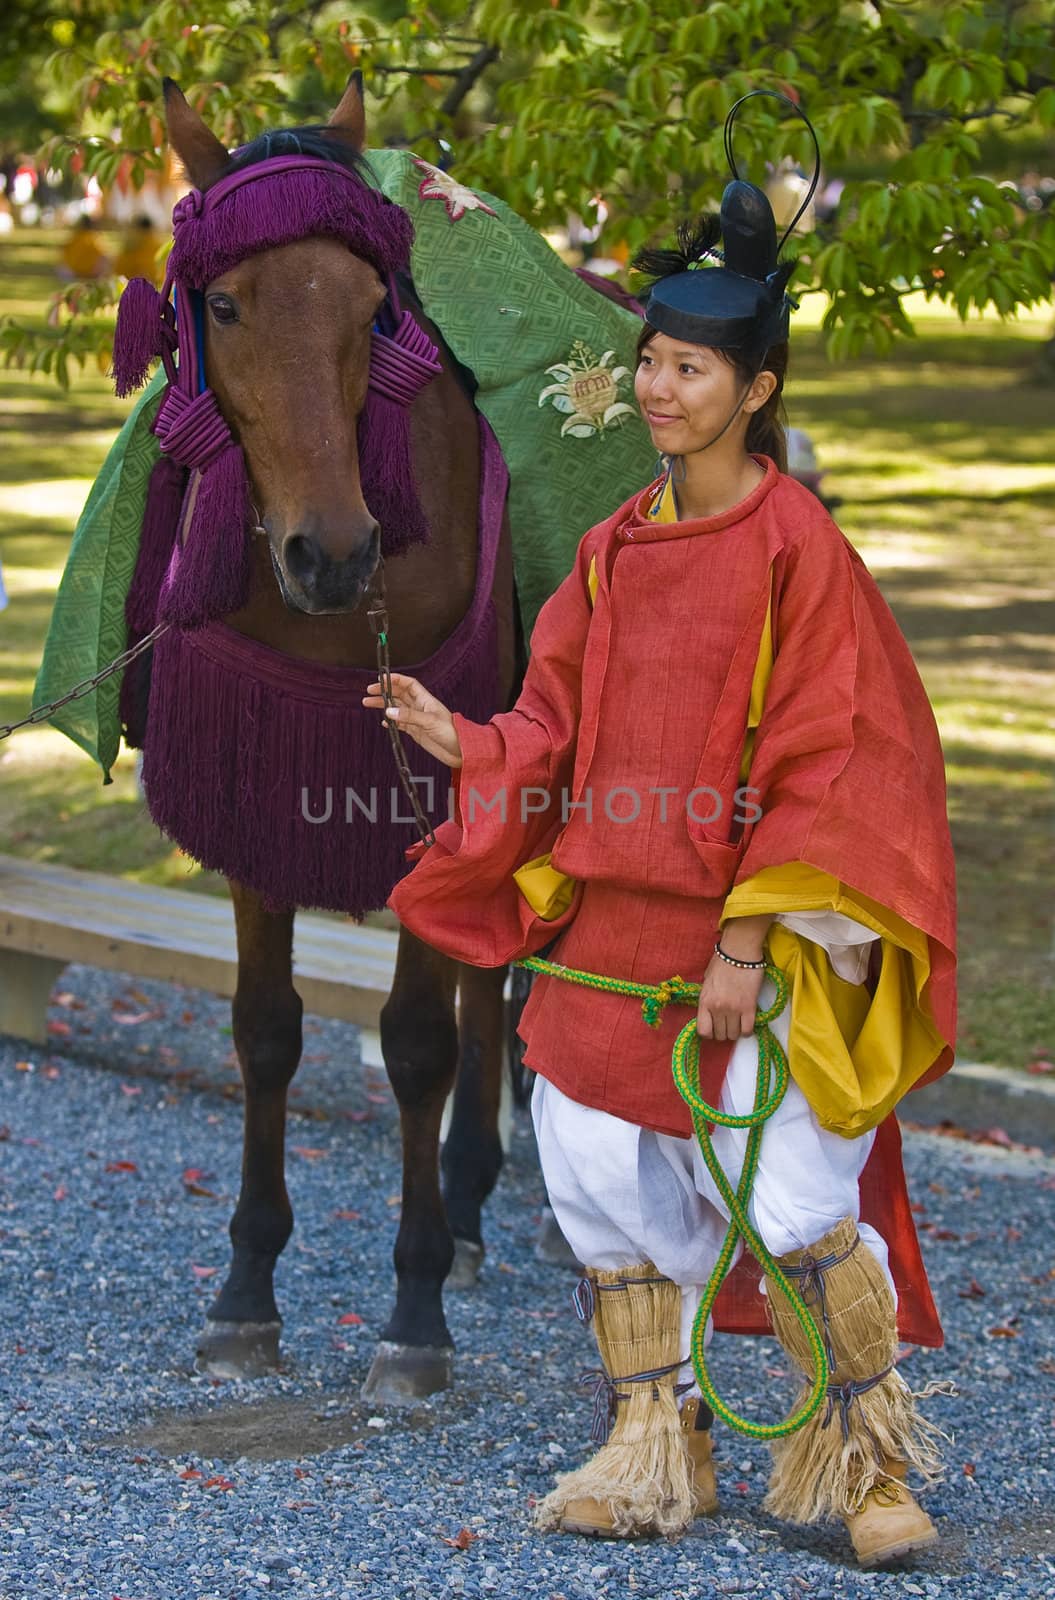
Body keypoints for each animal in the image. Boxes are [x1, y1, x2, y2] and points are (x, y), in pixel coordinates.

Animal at [159, 78, 518, 1401]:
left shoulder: (426, 790)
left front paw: (410, 1313)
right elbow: (265, 1031)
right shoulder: (254, 787)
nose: (334, 552)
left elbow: (414, 1042)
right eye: (220, 303)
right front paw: (244, 1288)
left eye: (374, 308)